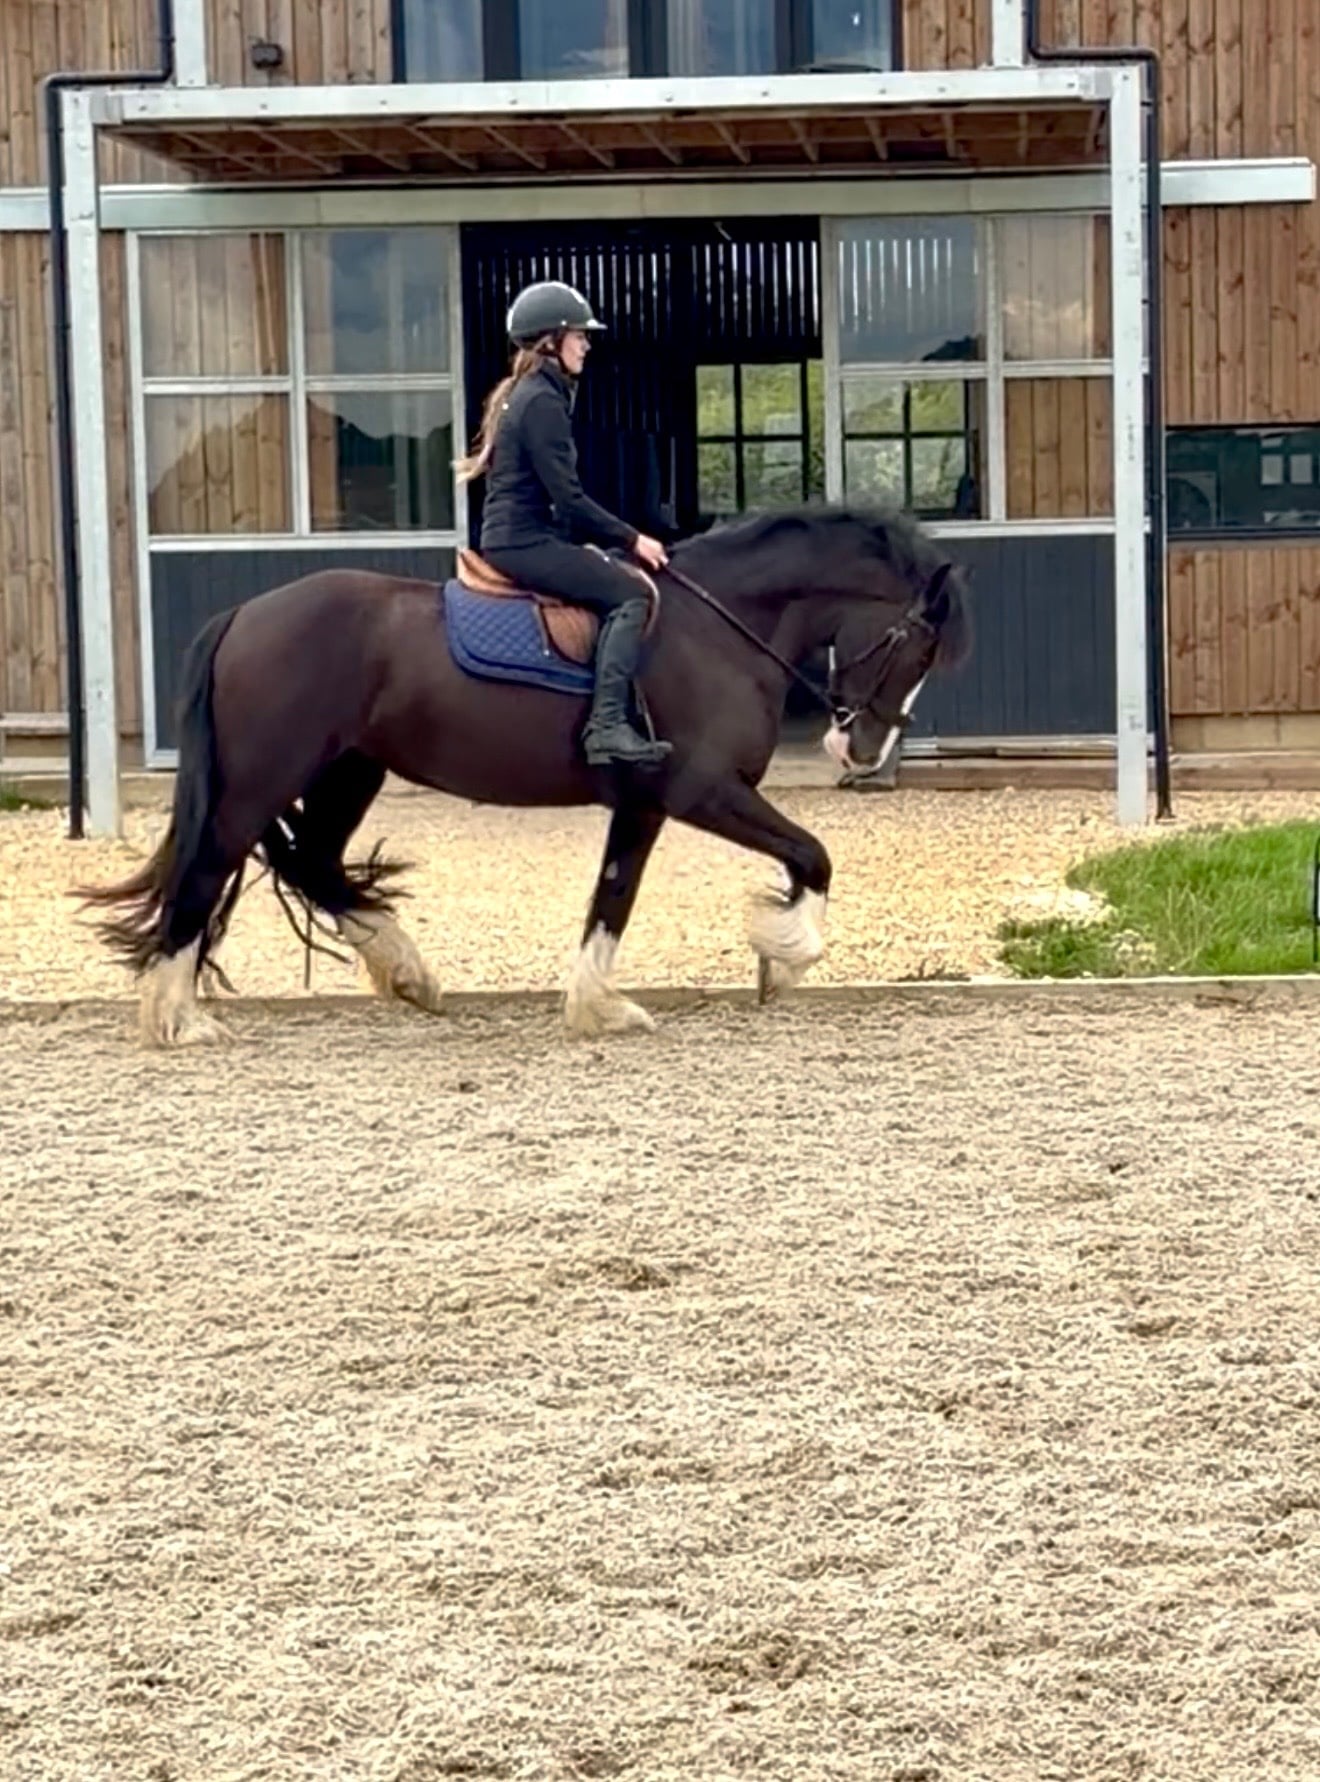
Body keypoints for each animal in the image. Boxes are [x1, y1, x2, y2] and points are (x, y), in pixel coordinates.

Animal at [80, 502, 972, 1046]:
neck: (718, 626)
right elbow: (813, 855)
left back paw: (407, 973)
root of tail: (245, 614)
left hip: (348, 772)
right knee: (210, 870)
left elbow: (613, 897)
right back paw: (176, 1018)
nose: (863, 753)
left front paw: (597, 1005)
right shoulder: (703, 792)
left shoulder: (645, 805)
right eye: (917, 646)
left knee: (317, 863)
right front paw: (784, 952)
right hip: (268, 776)